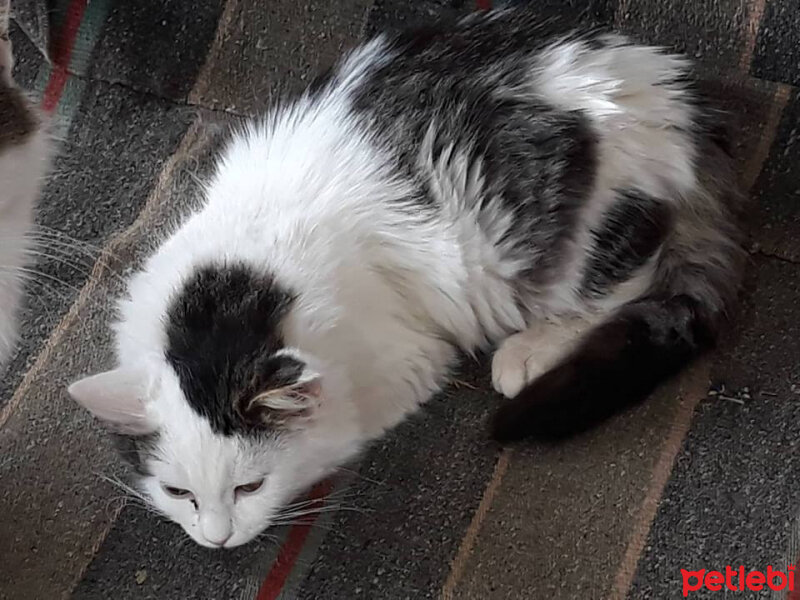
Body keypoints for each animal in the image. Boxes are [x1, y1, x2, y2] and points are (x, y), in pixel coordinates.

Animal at [67, 9, 744, 552]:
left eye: (249, 487)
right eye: (178, 492)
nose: (216, 539)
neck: (232, 290)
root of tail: (670, 91)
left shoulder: (400, 366)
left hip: (572, 241)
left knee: (630, 279)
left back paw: (529, 351)